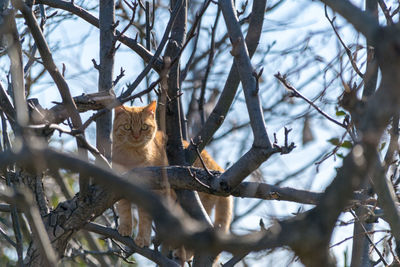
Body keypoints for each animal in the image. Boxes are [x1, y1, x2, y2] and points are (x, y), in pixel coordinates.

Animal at [111, 101, 233, 256]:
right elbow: (124, 210)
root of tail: (217, 166)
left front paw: (142, 239)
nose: (137, 136)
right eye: (127, 127)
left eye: (144, 127)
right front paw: (125, 228)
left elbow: (144, 219)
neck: (131, 156)